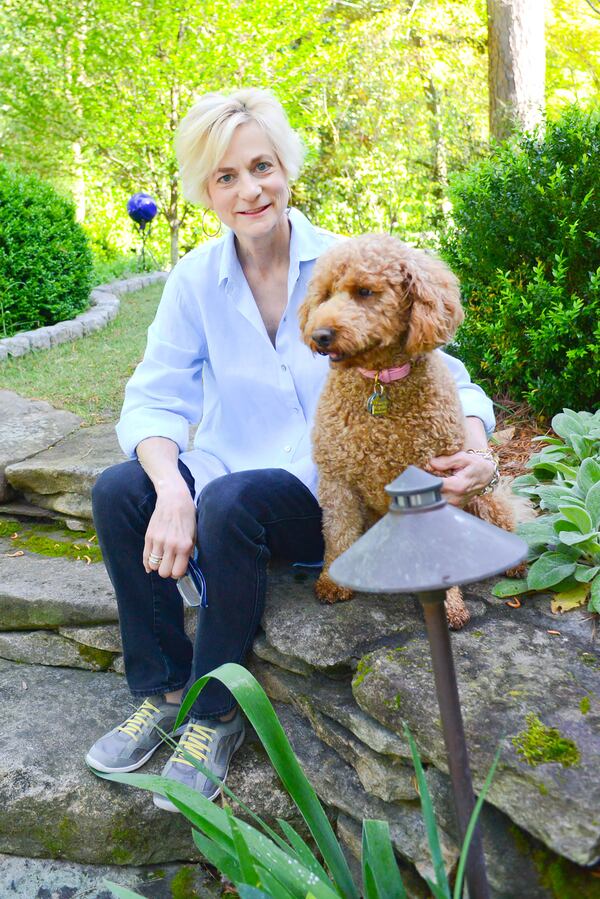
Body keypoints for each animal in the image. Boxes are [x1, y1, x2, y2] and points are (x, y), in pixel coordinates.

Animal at [300, 236, 516, 628]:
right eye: (324, 295)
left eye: (365, 291)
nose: (320, 335)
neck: (379, 381)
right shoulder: (337, 479)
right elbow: (337, 532)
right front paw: (332, 582)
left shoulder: (439, 480)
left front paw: (449, 605)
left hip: (483, 498)